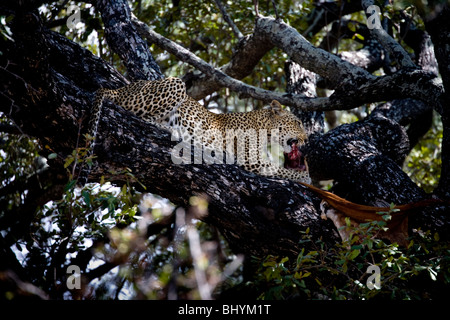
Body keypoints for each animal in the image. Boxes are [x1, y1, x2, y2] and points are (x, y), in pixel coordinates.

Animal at [81, 76, 312, 184]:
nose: (307, 140)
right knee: (139, 115)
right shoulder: (251, 160)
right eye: (298, 123)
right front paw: (306, 178)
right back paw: (172, 130)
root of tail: (120, 89)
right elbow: (282, 171)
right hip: (174, 84)